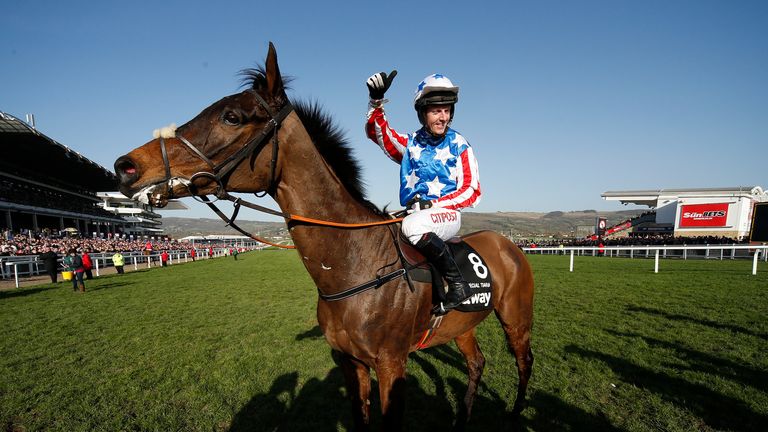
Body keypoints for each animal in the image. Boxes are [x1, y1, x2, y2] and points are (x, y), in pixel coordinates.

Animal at [115, 43, 536, 428]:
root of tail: (508, 245)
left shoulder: (392, 365)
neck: (354, 266)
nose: (126, 166)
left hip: (516, 317)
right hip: (464, 324)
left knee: (524, 359)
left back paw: (516, 412)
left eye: (232, 117)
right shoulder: (352, 363)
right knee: (477, 363)